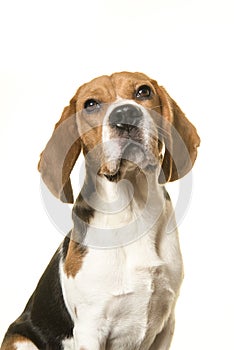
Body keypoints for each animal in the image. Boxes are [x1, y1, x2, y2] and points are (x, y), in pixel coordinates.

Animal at [0, 72, 200, 350]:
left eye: (144, 91)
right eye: (91, 104)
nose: (125, 114)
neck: (133, 210)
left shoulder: (166, 324)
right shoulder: (91, 328)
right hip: (21, 340)